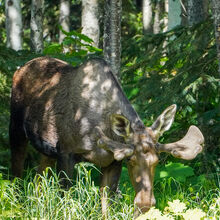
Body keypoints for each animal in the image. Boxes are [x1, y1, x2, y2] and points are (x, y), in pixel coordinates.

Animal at [9, 56, 205, 217]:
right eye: (131, 160)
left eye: (157, 161)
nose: (145, 204)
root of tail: (19, 68)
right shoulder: (65, 152)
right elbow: (65, 198)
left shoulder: (112, 162)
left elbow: (106, 205)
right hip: (17, 129)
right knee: (17, 175)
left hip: (46, 150)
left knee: (38, 179)